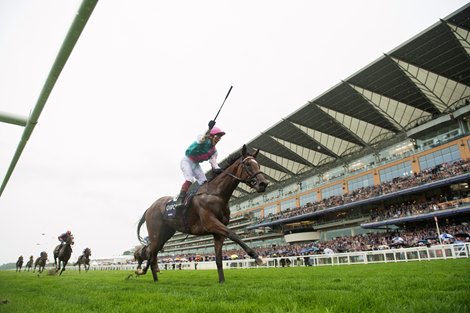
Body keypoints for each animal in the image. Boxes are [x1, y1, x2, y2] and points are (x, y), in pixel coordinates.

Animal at [136, 145, 268, 282]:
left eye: (258, 164)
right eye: (248, 164)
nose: (264, 183)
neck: (217, 195)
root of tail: (150, 208)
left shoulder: (217, 233)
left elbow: (219, 259)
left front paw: (222, 281)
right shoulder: (211, 223)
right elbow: (233, 234)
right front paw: (257, 257)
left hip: (165, 234)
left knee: (153, 255)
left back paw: (151, 276)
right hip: (156, 235)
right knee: (151, 255)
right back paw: (148, 275)